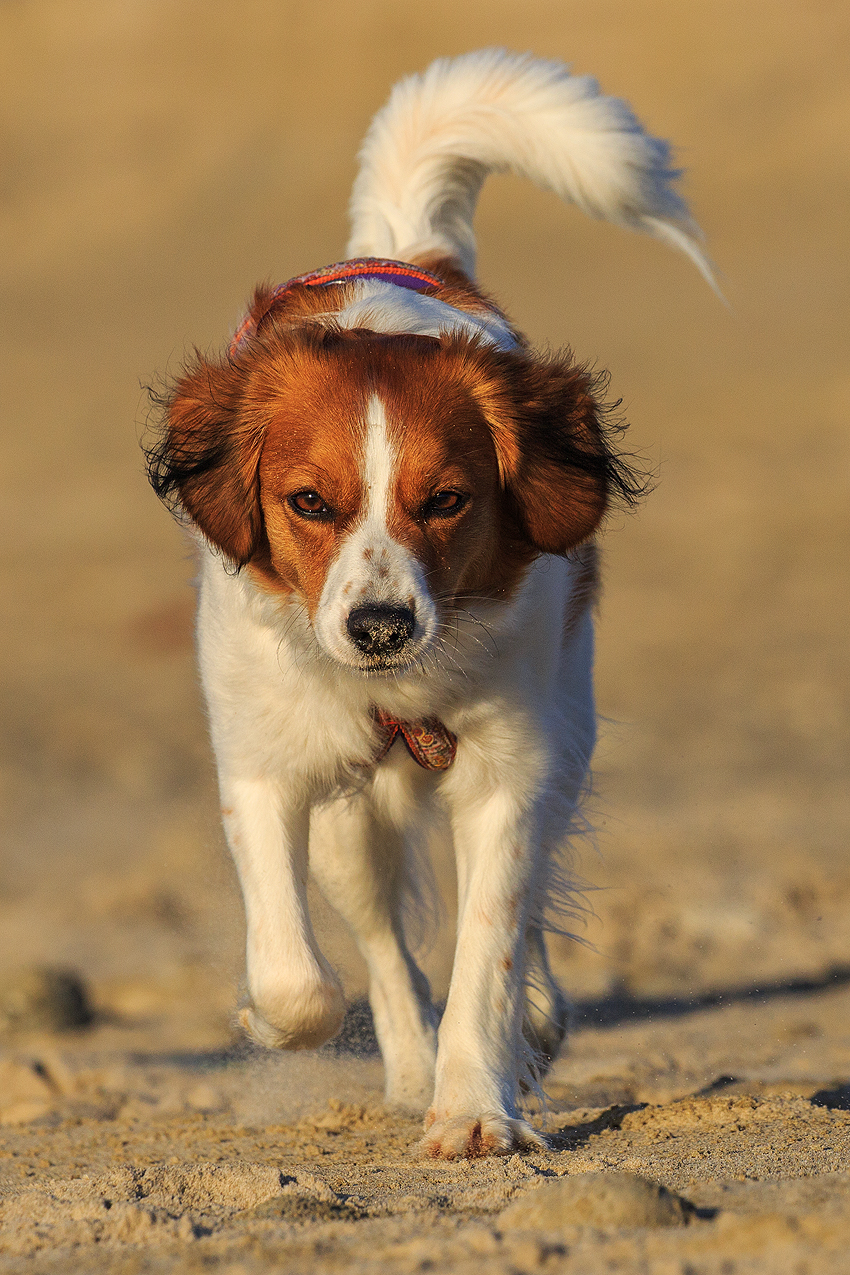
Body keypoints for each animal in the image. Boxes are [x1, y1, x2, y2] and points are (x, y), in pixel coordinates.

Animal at [146, 49, 713, 1162]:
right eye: (308, 503)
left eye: (446, 501)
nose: (379, 628)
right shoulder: (268, 767)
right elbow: (298, 981)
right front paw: (274, 1022)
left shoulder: (510, 769)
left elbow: (488, 947)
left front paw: (476, 1106)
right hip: (349, 824)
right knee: (376, 937)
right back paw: (408, 1068)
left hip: (562, 741)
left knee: (524, 913)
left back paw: (523, 1026)